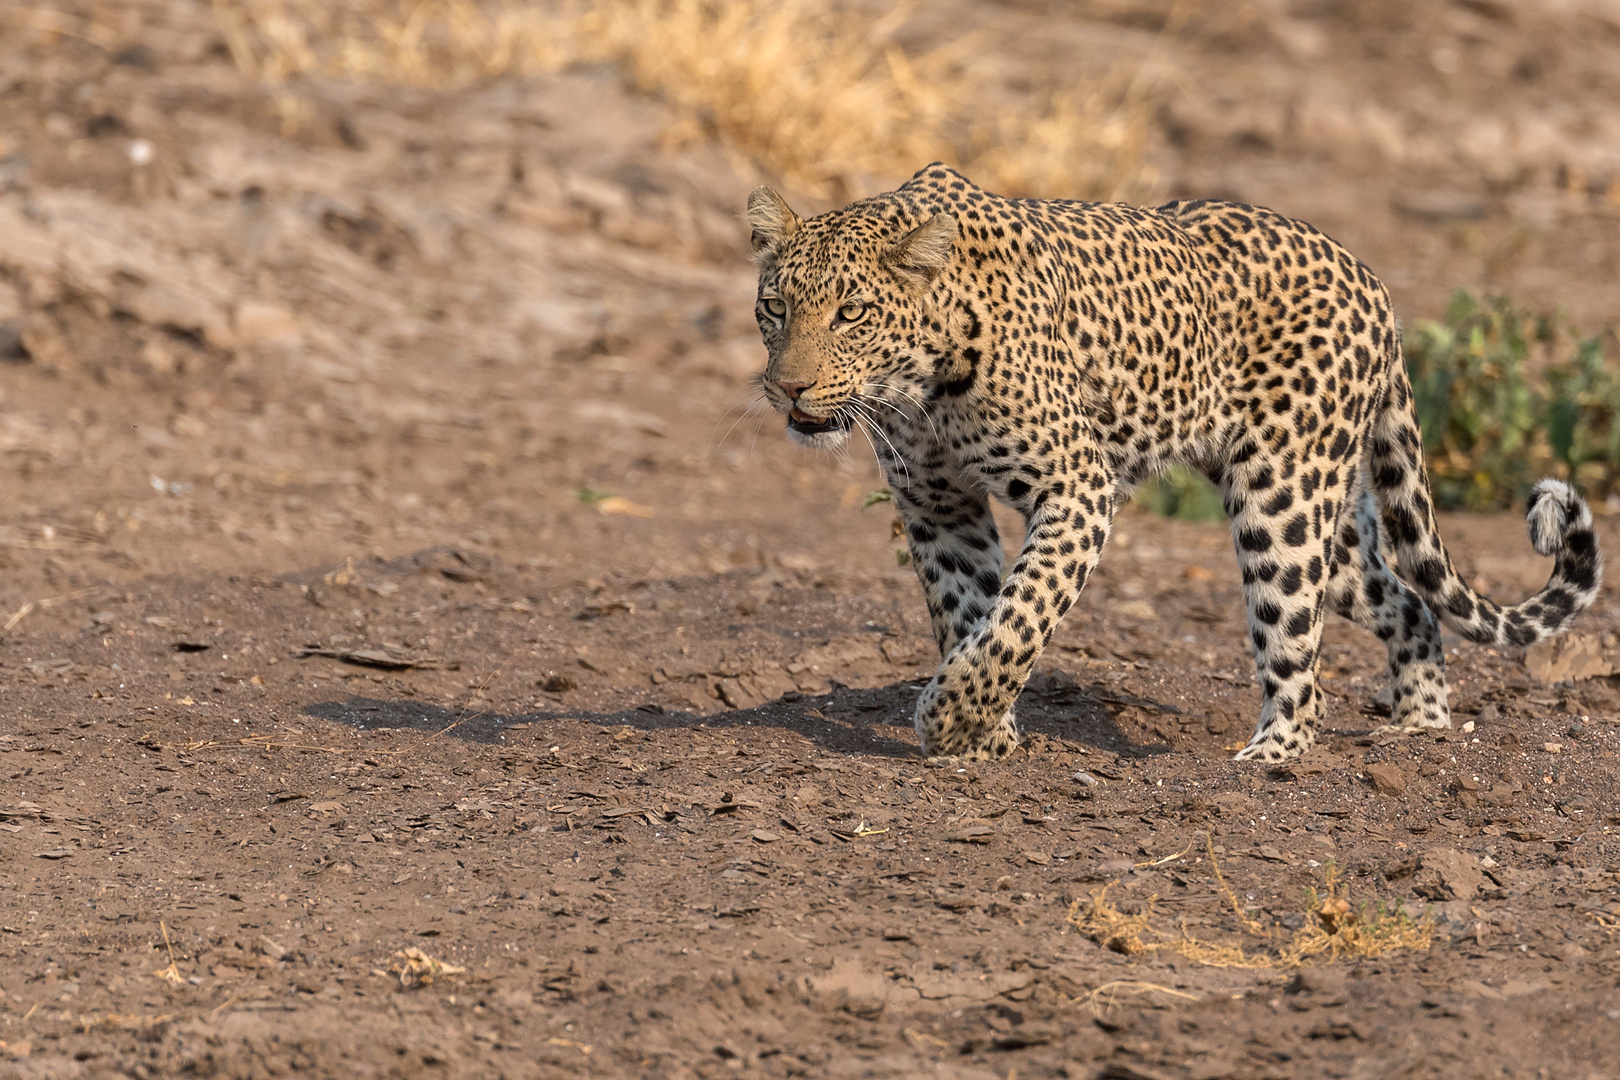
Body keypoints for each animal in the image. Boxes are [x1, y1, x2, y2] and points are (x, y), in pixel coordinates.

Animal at [748, 165, 1607, 764]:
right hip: (1327, 520)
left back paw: (1271, 756)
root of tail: (1373, 282)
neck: (923, 384)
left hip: (1281, 499)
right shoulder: (935, 504)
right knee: (1410, 604)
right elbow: (969, 612)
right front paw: (985, 735)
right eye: (776, 308)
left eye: (852, 313)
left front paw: (953, 718)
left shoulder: (1077, 487)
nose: (788, 386)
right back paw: (1420, 730)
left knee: (1298, 654)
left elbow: (1019, 618)